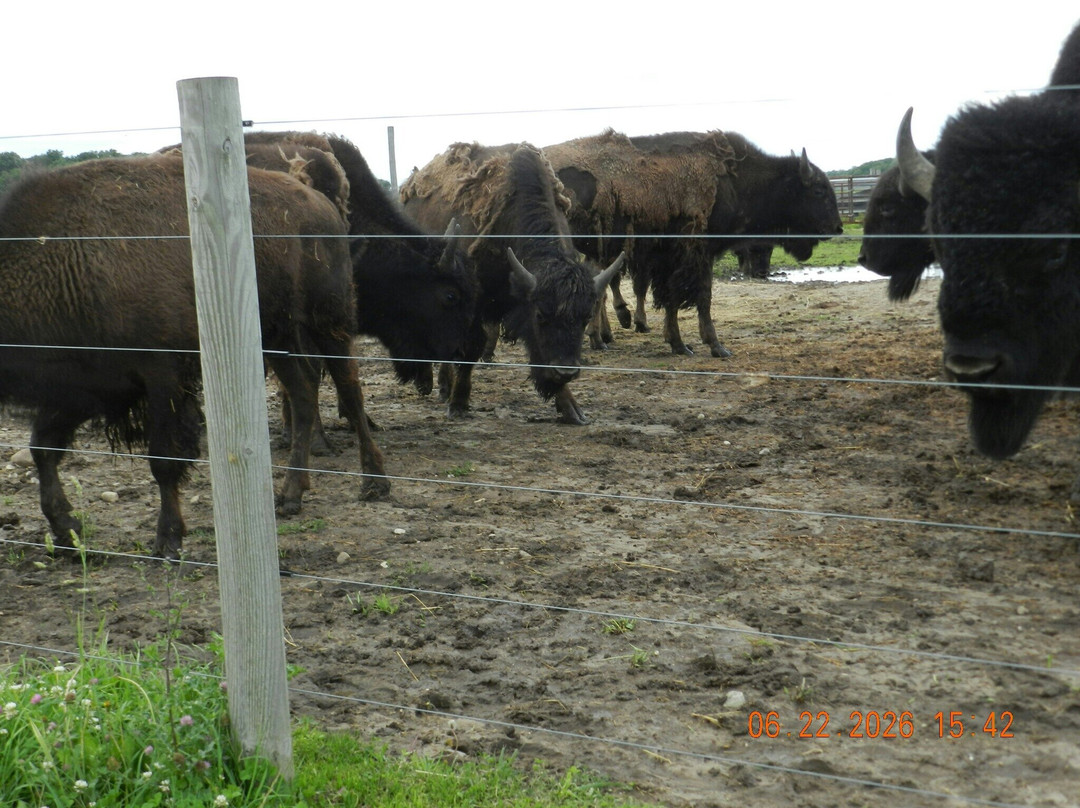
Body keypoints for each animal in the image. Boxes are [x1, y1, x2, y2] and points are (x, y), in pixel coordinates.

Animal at [0, 153, 387, 559]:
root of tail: (321, 203)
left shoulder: (162, 376)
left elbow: (163, 458)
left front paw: (167, 539)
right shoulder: (84, 386)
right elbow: (43, 448)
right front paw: (67, 533)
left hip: (329, 318)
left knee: (349, 388)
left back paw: (374, 482)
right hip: (276, 334)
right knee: (303, 391)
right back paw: (291, 495)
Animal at [400, 142, 622, 424]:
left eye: (585, 318)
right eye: (541, 315)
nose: (566, 372)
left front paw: (571, 408)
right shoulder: (474, 303)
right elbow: (472, 348)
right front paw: (458, 404)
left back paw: (443, 386)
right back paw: (427, 384)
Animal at [543, 129, 843, 357]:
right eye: (819, 190)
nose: (837, 227)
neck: (734, 180)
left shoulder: (667, 260)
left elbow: (670, 300)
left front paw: (677, 343)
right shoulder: (696, 254)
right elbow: (700, 296)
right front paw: (714, 346)